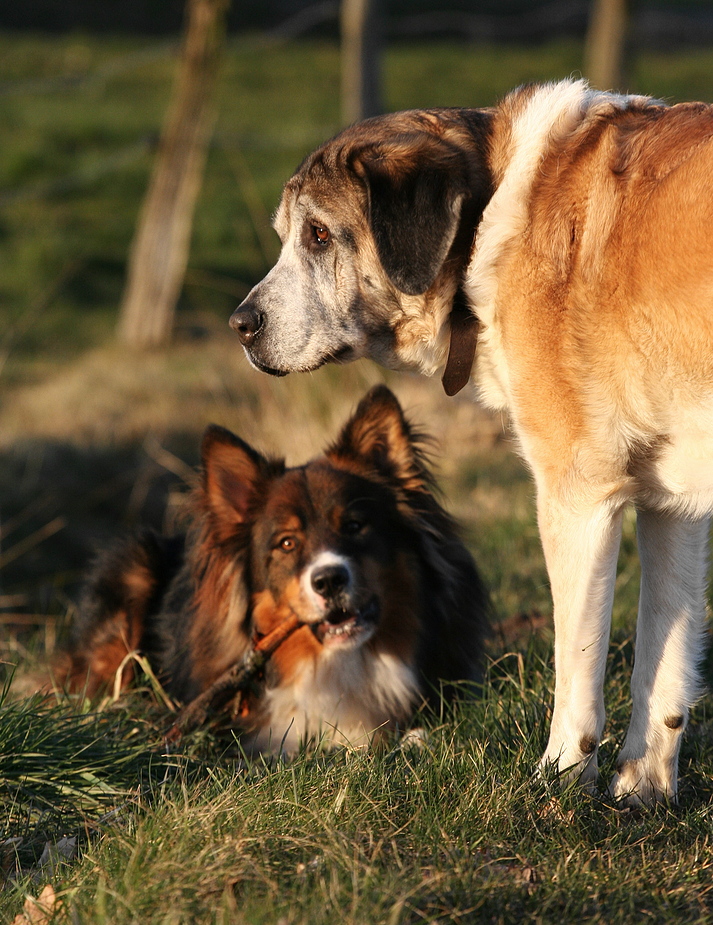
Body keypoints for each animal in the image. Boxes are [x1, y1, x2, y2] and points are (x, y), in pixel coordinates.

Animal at [231, 79, 712, 800]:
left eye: (318, 235)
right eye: (288, 236)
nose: (240, 324)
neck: (494, 211)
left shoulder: (576, 494)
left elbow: (577, 664)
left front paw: (556, 783)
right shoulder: (670, 502)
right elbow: (664, 654)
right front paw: (642, 792)